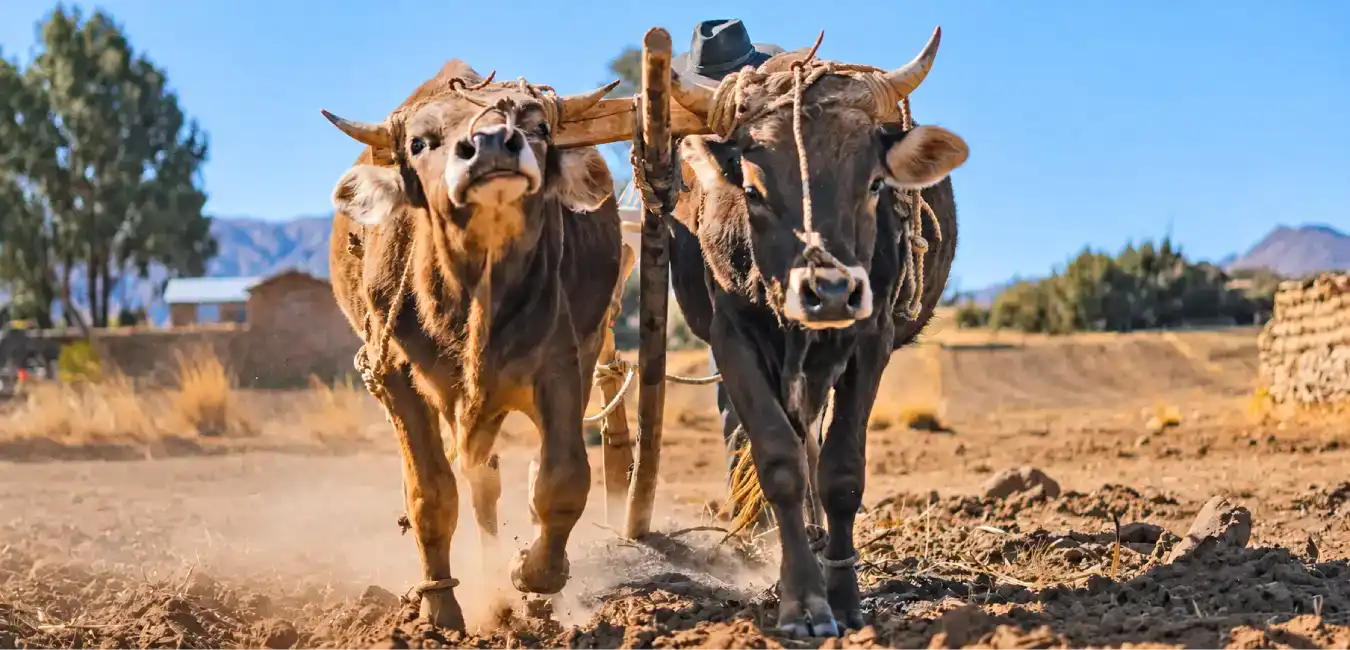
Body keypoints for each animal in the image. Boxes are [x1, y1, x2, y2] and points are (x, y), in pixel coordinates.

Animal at [318, 61, 632, 631]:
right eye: (419, 142)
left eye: (539, 126)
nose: (489, 145)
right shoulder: (395, 377)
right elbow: (430, 495)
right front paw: (440, 613)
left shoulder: (563, 363)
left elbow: (563, 479)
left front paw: (534, 573)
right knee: (476, 482)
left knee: (491, 483)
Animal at [660, 29, 969, 637]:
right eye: (752, 190)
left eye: (873, 183)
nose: (828, 293)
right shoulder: (732, 339)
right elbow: (780, 461)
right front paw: (802, 601)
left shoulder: (870, 339)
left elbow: (842, 471)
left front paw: (844, 597)